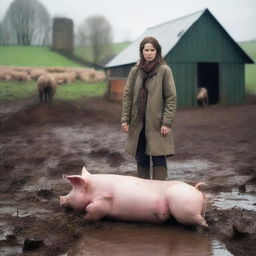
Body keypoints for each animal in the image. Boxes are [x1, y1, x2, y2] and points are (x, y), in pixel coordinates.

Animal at [59, 167, 207, 227]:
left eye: (74, 190)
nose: (60, 199)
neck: (93, 189)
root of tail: (197, 191)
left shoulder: (103, 201)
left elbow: (92, 210)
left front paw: (82, 220)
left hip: (185, 208)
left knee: (200, 221)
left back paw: (203, 227)